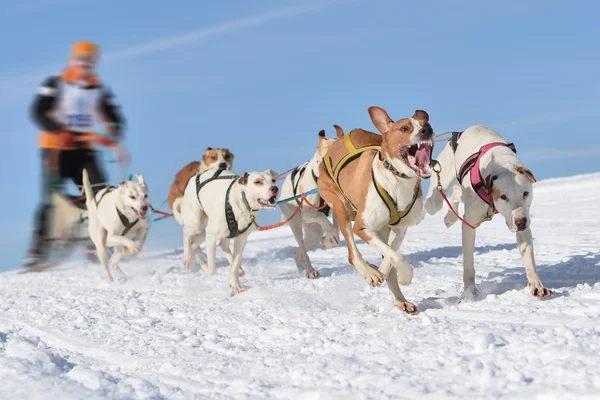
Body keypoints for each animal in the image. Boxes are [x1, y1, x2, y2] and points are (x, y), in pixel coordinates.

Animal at [173, 167, 282, 296]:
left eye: (273, 180)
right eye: (257, 182)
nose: (274, 188)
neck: (241, 205)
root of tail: (195, 177)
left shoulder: (241, 240)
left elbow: (234, 265)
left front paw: (235, 285)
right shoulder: (211, 236)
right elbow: (212, 269)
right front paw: (208, 271)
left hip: (206, 232)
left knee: (212, 244)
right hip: (196, 224)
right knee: (186, 233)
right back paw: (187, 258)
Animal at [282, 127, 342, 278]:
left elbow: (336, 226)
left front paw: (331, 238)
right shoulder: (307, 212)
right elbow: (321, 216)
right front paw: (331, 235)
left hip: (314, 233)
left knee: (298, 251)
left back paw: (301, 267)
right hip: (296, 223)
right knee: (302, 249)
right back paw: (310, 270)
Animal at [316, 108, 434, 314]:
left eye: (427, 124)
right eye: (404, 128)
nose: (427, 130)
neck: (397, 179)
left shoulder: (399, 229)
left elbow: (391, 256)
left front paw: (386, 272)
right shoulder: (363, 228)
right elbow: (397, 256)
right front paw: (404, 276)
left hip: (379, 227)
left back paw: (399, 298)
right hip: (340, 207)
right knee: (352, 253)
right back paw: (369, 272)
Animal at [422, 125, 548, 300]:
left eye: (525, 193)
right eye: (503, 196)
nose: (521, 222)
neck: (501, 164)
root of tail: (458, 134)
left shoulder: (522, 219)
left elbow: (528, 254)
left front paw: (537, 285)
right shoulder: (469, 224)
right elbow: (468, 264)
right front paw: (469, 293)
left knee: (458, 192)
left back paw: (450, 217)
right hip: (434, 199)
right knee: (434, 202)